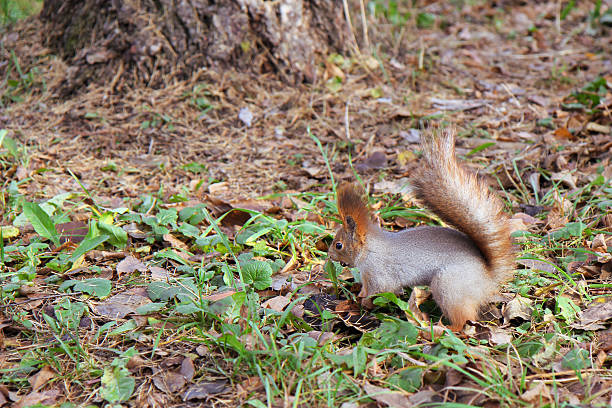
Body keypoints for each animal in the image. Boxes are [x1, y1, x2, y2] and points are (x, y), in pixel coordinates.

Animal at [328, 128, 512, 332]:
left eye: (338, 245)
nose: (329, 256)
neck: (369, 249)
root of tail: (487, 278)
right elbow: (366, 289)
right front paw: (358, 296)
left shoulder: (379, 274)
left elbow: (380, 291)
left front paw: (364, 304)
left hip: (448, 286)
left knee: (464, 318)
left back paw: (446, 329)